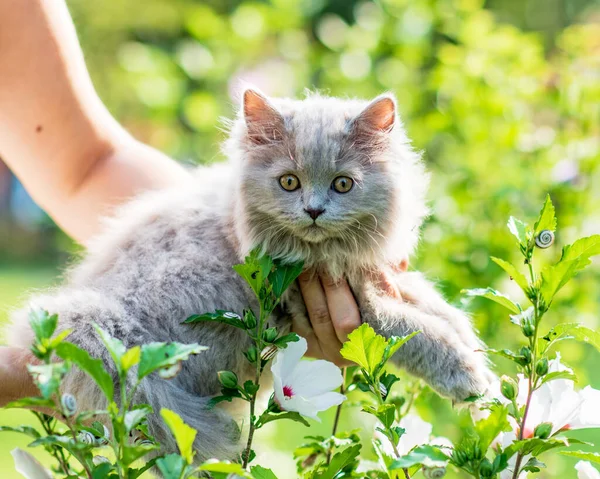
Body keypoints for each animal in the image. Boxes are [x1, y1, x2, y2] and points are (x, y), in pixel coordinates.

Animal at [5, 89, 492, 462]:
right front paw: (472, 383)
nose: (313, 210)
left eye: (343, 184)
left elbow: (438, 309)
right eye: (289, 182)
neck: (325, 254)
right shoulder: (359, 307)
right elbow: (417, 332)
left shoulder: (373, 276)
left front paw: (476, 350)